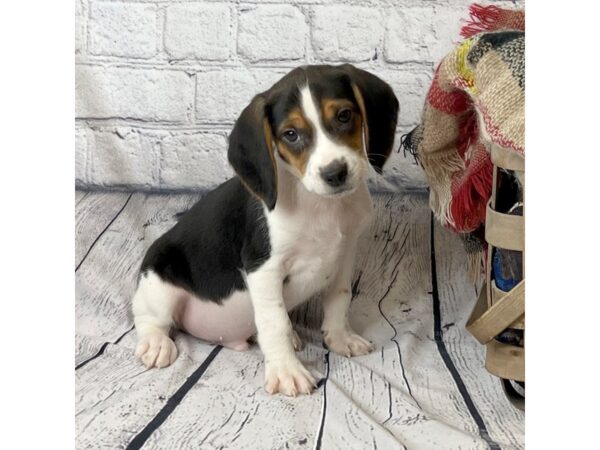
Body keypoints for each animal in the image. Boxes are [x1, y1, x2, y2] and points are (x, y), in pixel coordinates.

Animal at [134, 64, 400, 398]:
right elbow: (275, 323)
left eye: (344, 115)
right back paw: (155, 344)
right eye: (291, 134)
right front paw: (287, 371)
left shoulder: (345, 254)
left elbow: (339, 300)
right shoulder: (264, 269)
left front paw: (340, 338)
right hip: (159, 279)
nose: (335, 173)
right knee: (149, 318)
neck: (318, 203)